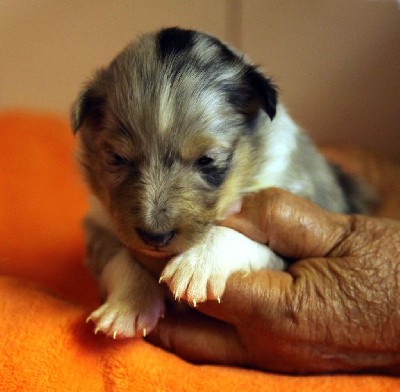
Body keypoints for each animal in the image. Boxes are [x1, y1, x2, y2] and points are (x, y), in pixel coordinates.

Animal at [71, 28, 372, 340]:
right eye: (117, 158)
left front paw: (198, 264)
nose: (155, 238)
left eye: (207, 160)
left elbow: (245, 236)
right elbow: (120, 258)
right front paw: (127, 306)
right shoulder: (101, 223)